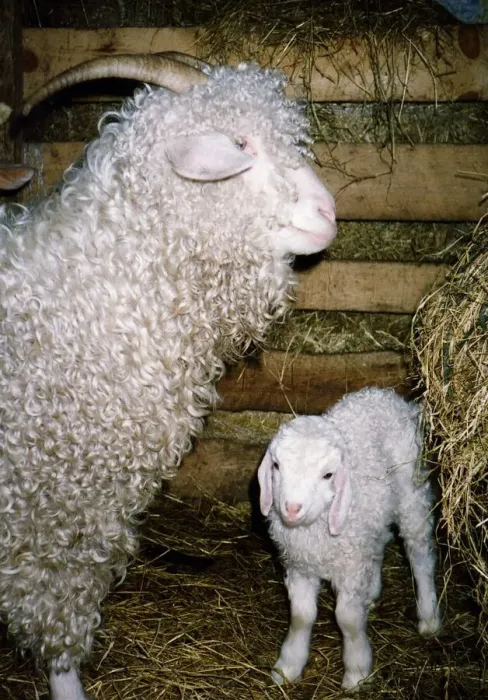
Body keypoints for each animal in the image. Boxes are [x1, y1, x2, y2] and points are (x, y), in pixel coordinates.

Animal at [257, 387, 442, 691]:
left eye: (328, 475)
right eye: (276, 465)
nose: (292, 508)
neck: (313, 533)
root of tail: (385, 395)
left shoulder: (350, 569)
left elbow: (347, 619)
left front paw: (357, 672)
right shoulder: (299, 566)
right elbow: (301, 616)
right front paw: (288, 667)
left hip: (412, 491)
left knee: (420, 555)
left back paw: (429, 617)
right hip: (371, 522)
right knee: (379, 542)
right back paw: (372, 593)